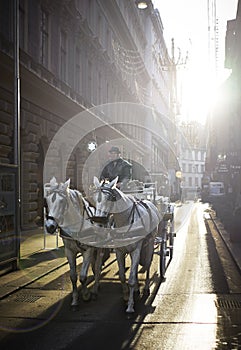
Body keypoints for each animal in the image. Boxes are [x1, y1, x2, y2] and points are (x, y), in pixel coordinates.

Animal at [45, 179, 109, 308]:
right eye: (47, 201)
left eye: (62, 201)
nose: (49, 226)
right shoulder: (69, 251)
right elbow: (73, 276)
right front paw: (75, 300)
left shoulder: (88, 250)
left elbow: (83, 276)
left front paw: (85, 294)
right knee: (94, 266)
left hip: (99, 247)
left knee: (98, 266)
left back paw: (95, 290)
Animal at [91, 176, 163, 316]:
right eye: (95, 197)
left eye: (109, 198)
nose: (98, 223)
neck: (124, 220)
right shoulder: (120, 250)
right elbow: (123, 277)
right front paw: (125, 296)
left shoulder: (137, 249)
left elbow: (131, 279)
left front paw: (130, 306)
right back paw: (136, 289)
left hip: (150, 244)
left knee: (148, 264)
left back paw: (146, 287)